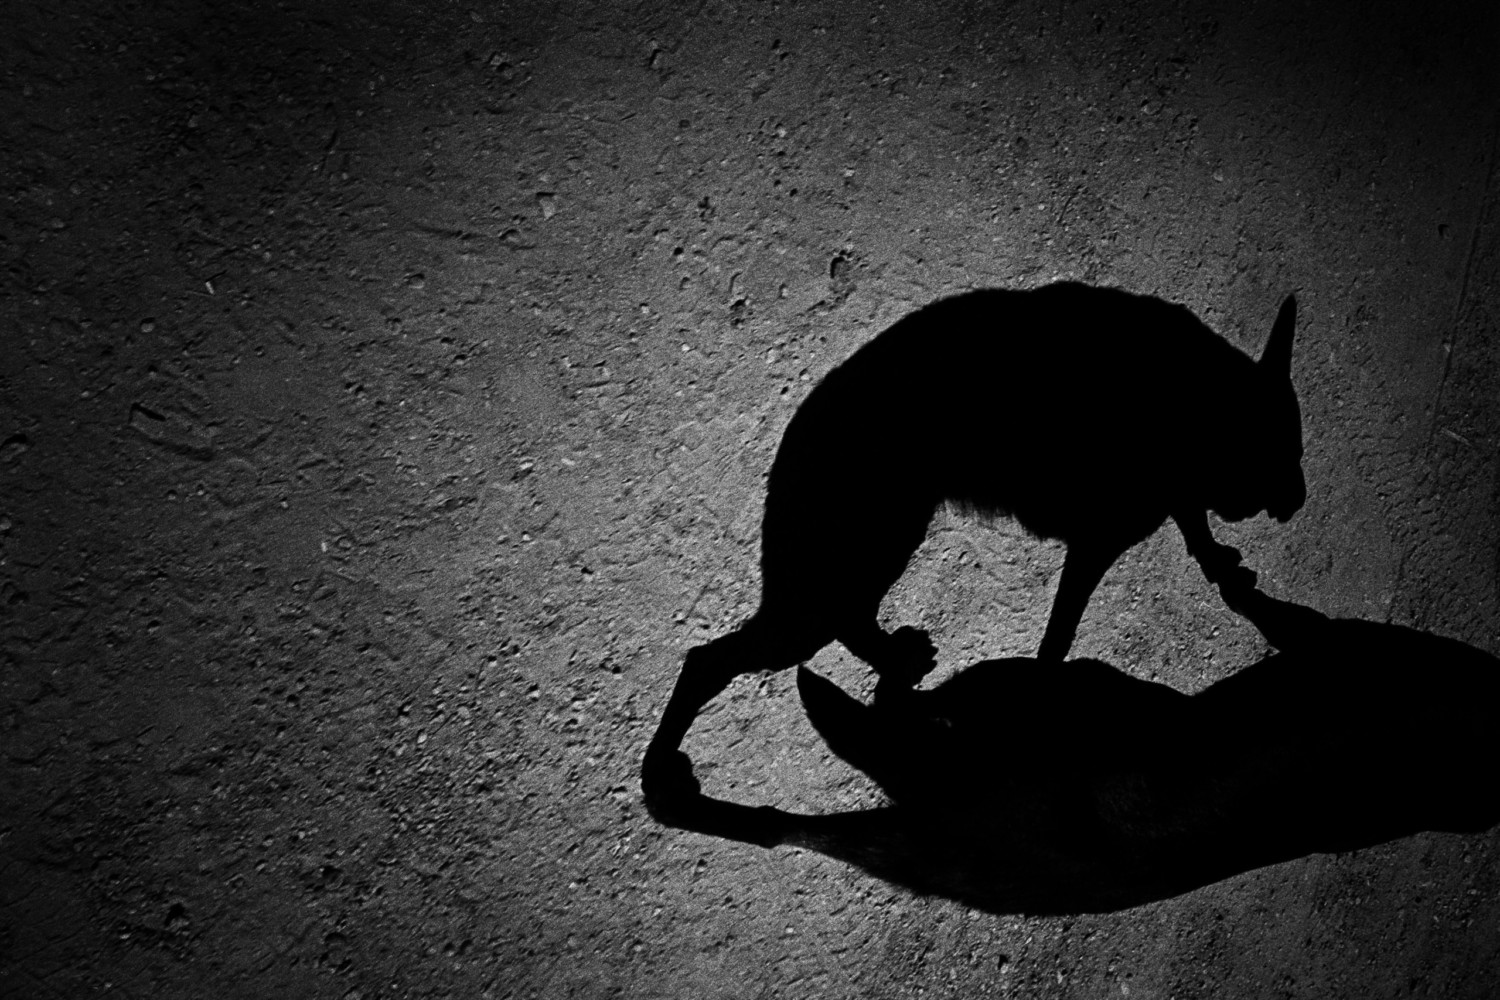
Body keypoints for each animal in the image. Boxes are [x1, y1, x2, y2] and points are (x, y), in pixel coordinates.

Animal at [644, 282, 1305, 817]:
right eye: (1281, 453)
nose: (1299, 500)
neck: (1193, 397)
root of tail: (797, 431)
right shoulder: (1097, 540)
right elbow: (1058, 637)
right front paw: (1043, 704)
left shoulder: (1158, 501)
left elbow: (1194, 525)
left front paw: (1222, 567)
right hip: (851, 563)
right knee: (711, 659)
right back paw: (663, 771)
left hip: (875, 546)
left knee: (851, 627)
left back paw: (899, 667)